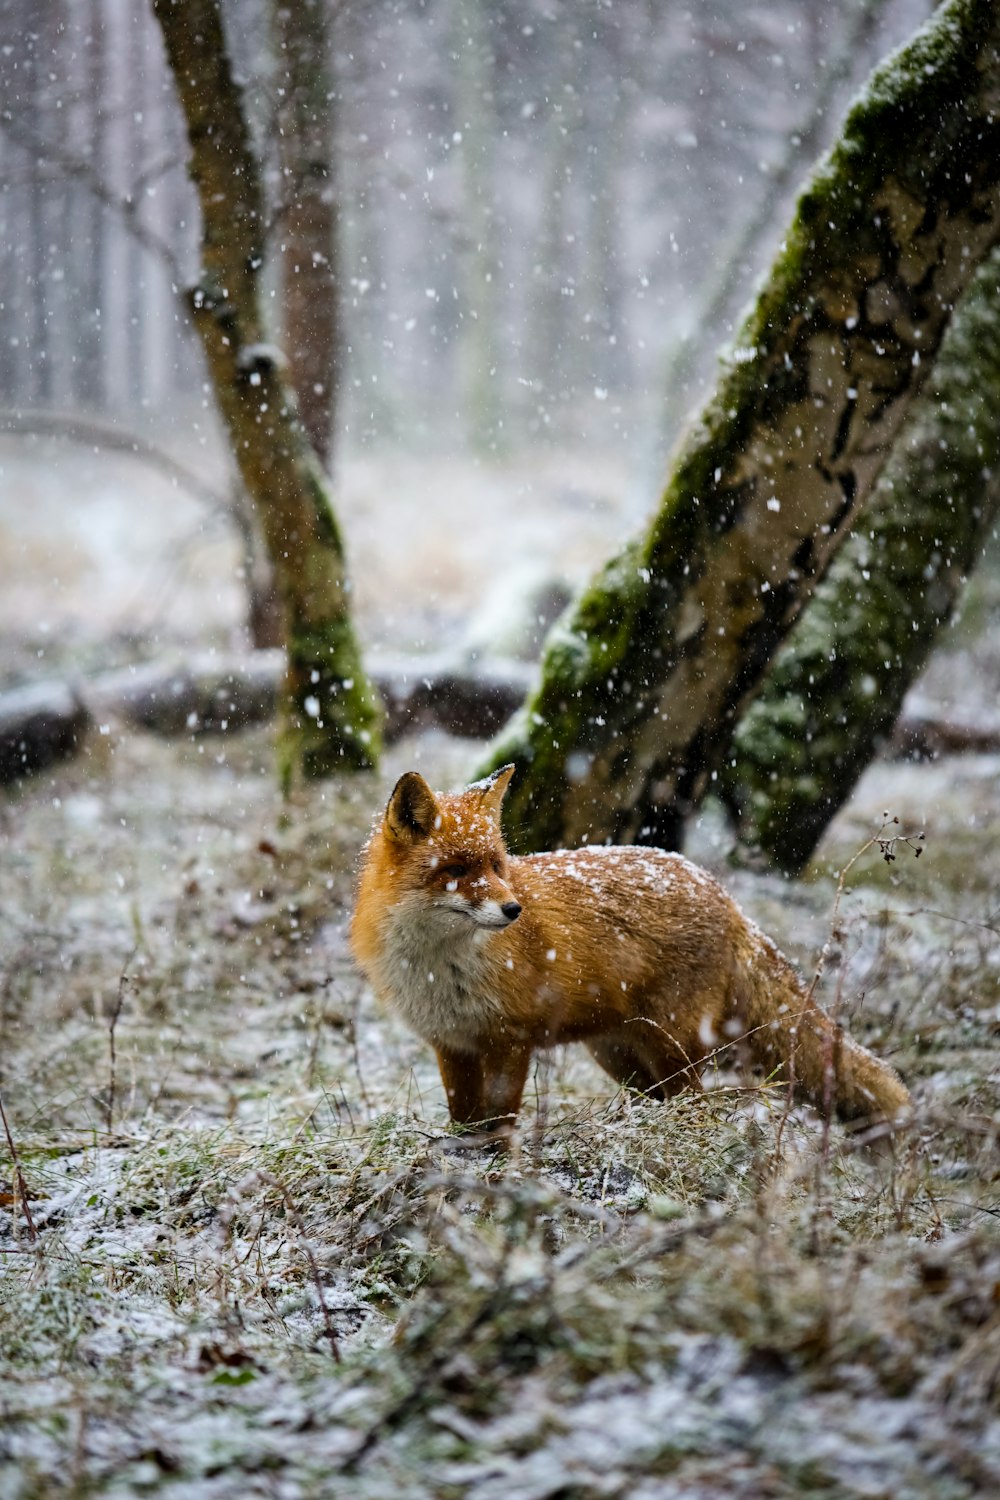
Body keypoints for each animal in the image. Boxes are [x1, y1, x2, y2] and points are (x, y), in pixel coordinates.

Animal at [353, 768, 917, 1128]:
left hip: (671, 1045)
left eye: (496, 865)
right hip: (621, 1057)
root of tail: (721, 892)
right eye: (455, 871)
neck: (440, 968)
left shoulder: (509, 1042)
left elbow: (498, 1126)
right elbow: (463, 1124)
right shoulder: (451, 1045)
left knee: (696, 1102)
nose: (514, 910)